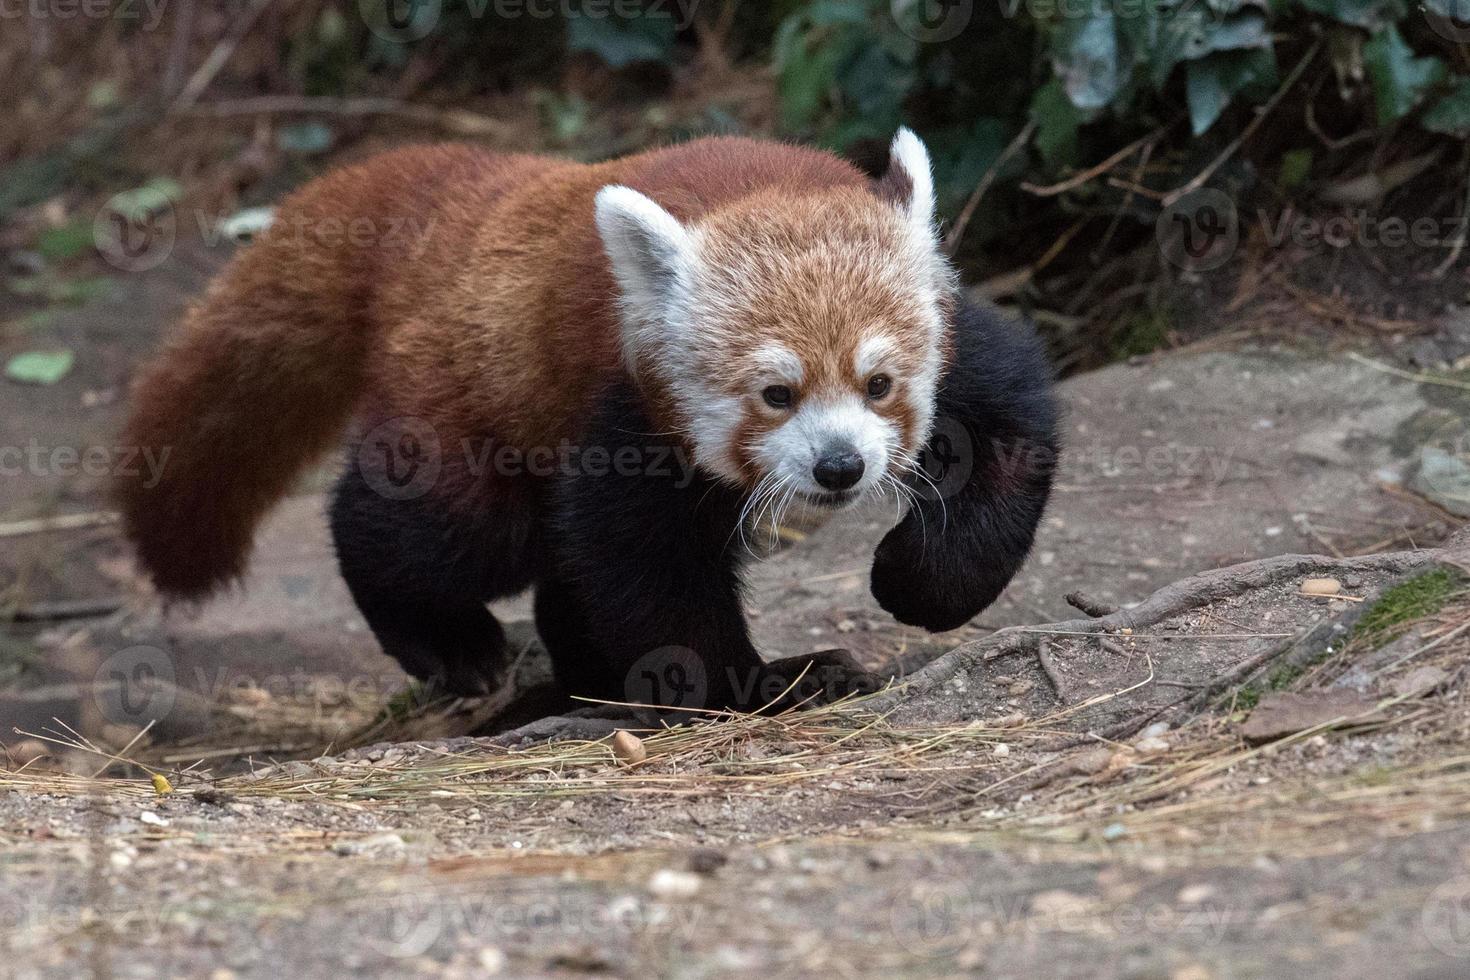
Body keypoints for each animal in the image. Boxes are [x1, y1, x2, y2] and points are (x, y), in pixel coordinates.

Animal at [117, 132, 1058, 714]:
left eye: (880, 383)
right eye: (775, 394)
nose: (839, 468)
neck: (759, 185)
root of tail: (457, 201)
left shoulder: (961, 341)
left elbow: (1012, 434)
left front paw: (918, 581)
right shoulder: (621, 403)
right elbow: (644, 561)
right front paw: (754, 684)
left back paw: (583, 672)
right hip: (475, 397)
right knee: (431, 530)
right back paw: (449, 643)